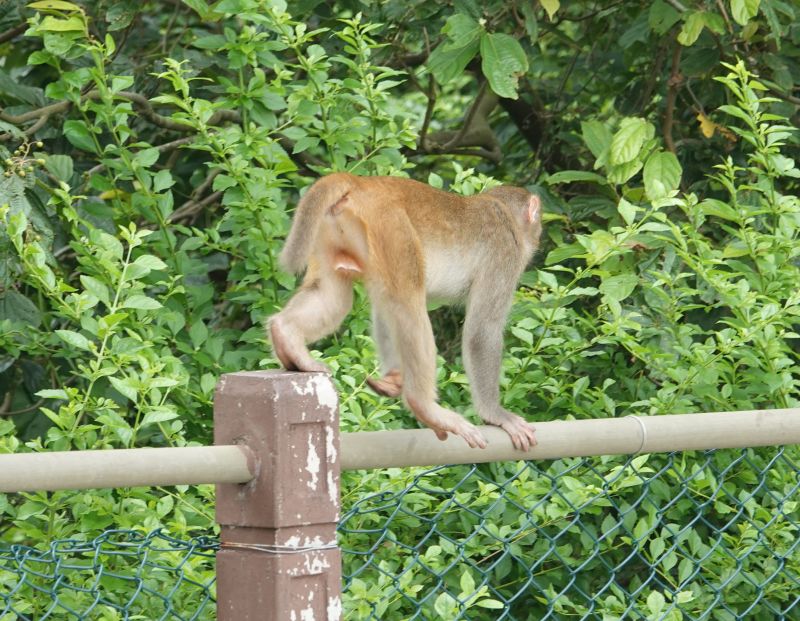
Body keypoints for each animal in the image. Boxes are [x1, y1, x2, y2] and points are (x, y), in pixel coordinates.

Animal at [269, 173, 542, 451]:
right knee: (409, 302)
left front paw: (392, 379)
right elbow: (482, 330)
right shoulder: (505, 252)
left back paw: (286, 336)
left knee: (333, 292)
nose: (538, 236)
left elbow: (381, 307)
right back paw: (424, 406)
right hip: (393, 228)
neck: (503, 211)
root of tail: (361, 181)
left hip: (334, 231)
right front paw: (495, 415)